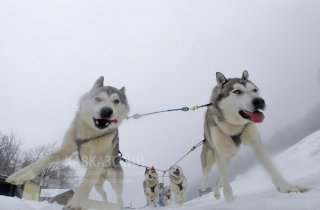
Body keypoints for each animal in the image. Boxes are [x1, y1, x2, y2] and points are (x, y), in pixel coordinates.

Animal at [5, 76, 129, 209]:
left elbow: (84, 187)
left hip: (114, 183)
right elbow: (44, 159)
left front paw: (74, 205)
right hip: (98, 183)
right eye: (97, 98)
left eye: (116, 101)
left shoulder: (96, 163)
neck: (90, 134)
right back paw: (103, 204)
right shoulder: (67, 149)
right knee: (104, 193)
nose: (106, 111)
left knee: (119, 198)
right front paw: (20, 175)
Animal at [201, 71, 308, 203]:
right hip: (211, 159)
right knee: (208, 175)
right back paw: (204, 186)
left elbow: (271, 167)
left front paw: (287, 188)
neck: (234, 126)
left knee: (219, 176)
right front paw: (230, 201)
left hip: (228, 157)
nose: (260, 101)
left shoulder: (256, 144)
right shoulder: (220, 153)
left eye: (255, 90)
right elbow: (226, 184)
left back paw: (216, 193)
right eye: (237, 91)